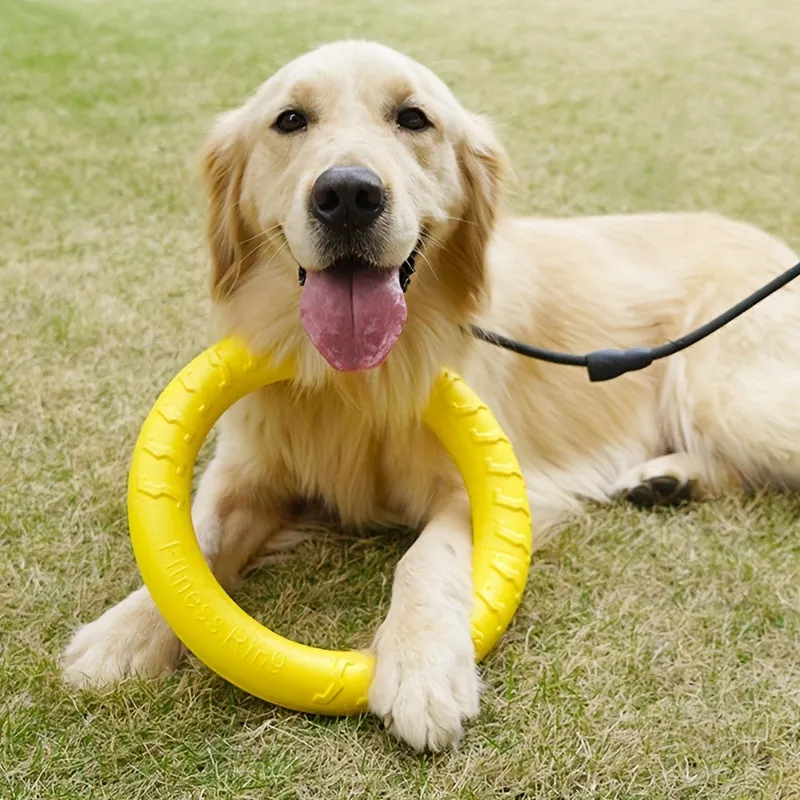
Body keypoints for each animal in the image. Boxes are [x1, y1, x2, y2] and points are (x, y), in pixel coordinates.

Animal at [61, 37, 800, 752]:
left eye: (413, 118)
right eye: (290, 120)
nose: (348, 195)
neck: (355, 382)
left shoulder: (489, 489)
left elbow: (423, 560)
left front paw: (420, 669)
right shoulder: (249, 467)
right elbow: (196, 534)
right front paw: (125, 632)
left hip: (726, 395)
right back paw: (667, 479)